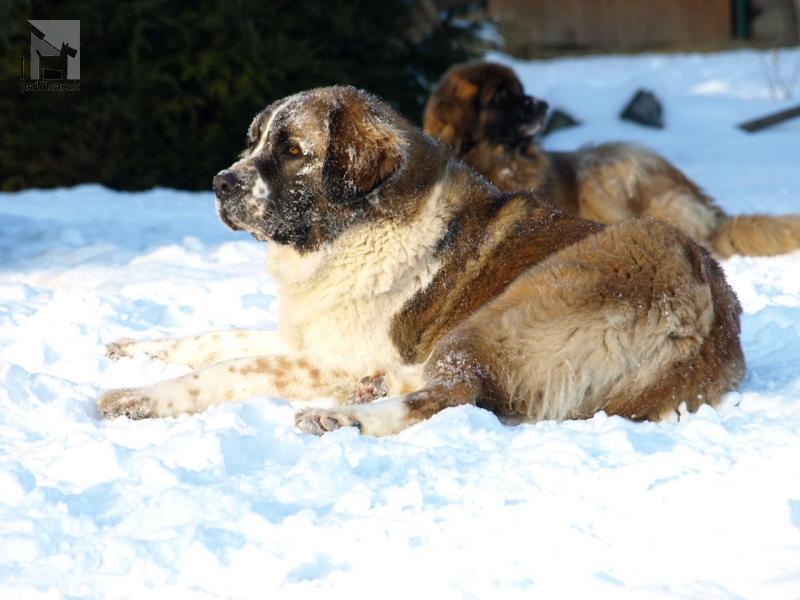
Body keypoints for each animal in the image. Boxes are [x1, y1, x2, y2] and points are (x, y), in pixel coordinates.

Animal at [98, 85, 744, 436]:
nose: (220, 183)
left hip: (502, 314)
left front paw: (138, 397)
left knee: (451, 393)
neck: (354, 229)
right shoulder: (308, 338)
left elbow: (228, 368)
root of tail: (707, 315)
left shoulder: (332, 361)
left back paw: (342, 420)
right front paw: (133, 348)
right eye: (251, 143)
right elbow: (216, 338)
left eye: (292, 151)